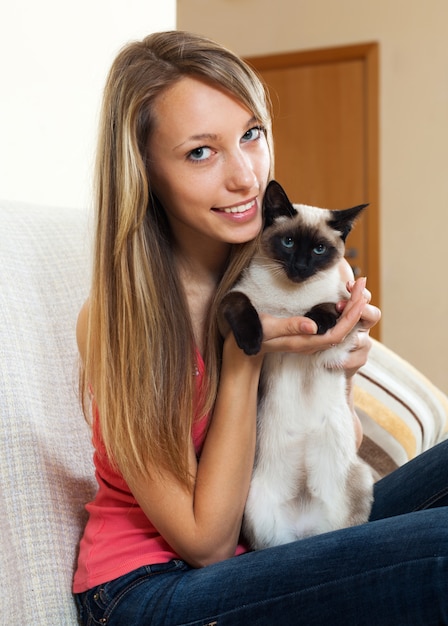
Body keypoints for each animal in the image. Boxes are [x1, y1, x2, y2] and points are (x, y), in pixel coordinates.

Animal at [220, 179, 374, 544]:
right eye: (288, 242)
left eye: (319, 250)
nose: (301, 267)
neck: (291, 299)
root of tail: (306, 531)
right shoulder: (231, 305)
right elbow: (241, 303)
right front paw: (252, 341)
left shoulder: (343, 331)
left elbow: (327, 309)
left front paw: (314, 322)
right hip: (255, 512)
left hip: (360, 481)